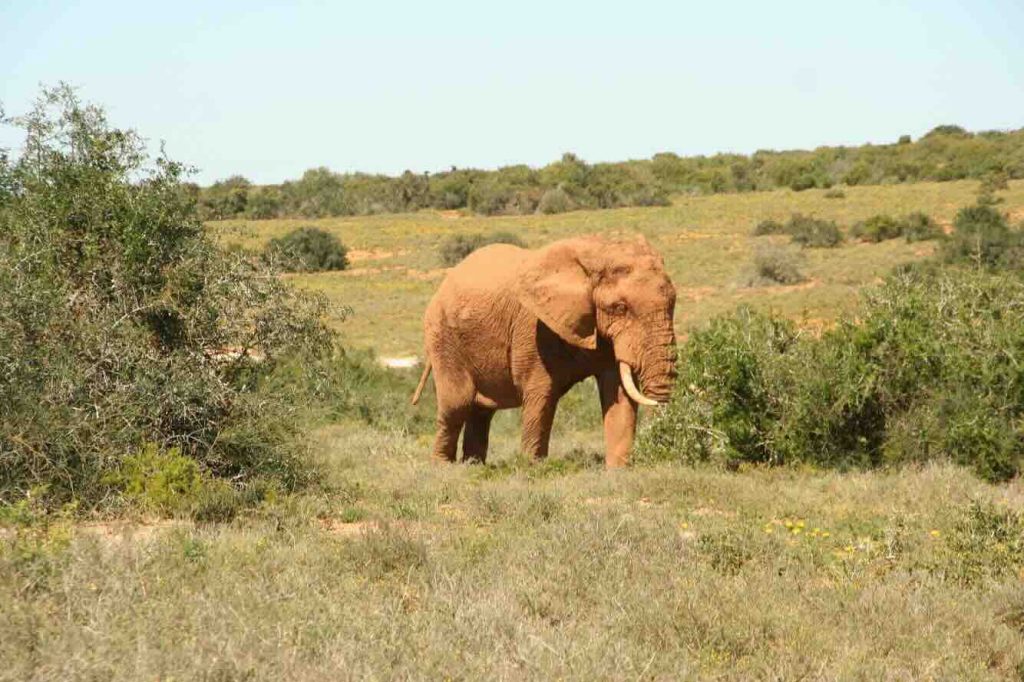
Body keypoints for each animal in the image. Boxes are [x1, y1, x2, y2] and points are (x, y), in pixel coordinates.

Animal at [411, 234, 678, 468]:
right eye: (620, 307)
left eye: (673, 303)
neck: (596, 252)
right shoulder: (535, 329)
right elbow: (541, 394)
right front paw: (532, 468)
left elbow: (618, 393)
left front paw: (618, 471)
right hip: (443, 335)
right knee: (457, 404)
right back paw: (443, 467)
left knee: (481, 412)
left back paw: (473, 466)